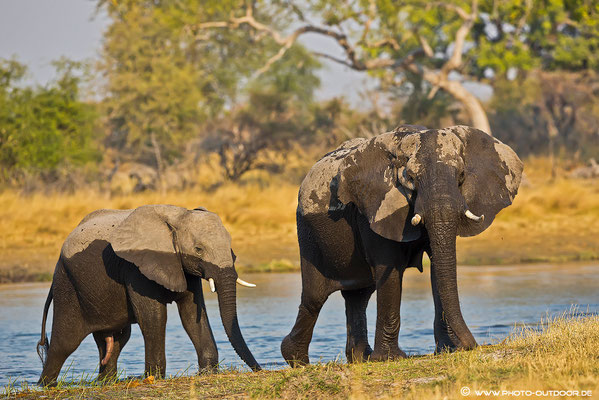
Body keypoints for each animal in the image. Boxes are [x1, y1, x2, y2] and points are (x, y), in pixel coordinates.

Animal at [37, 205, 262, 386]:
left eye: (230, 248)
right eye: (198, 249)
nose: (260, 370)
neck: (177, 216)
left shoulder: (182, 266)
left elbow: (191, 314)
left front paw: (208, 372)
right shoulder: (136, 267)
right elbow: (154, 317)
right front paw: (154, 376)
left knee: (116, 341)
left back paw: (105, 382)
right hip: (66, 284)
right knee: (64, 343)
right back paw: (45, 385)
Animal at [284, 125, 524, 366]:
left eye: (462, 176)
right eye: (411, 178)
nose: (472, 345)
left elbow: (437, 267)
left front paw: (447, 350)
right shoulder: (372, 208)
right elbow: (388, 268)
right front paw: (390, 358)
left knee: (358, 296)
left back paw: (360, 359)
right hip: (308, 235)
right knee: (315, 297)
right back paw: (296, 359)